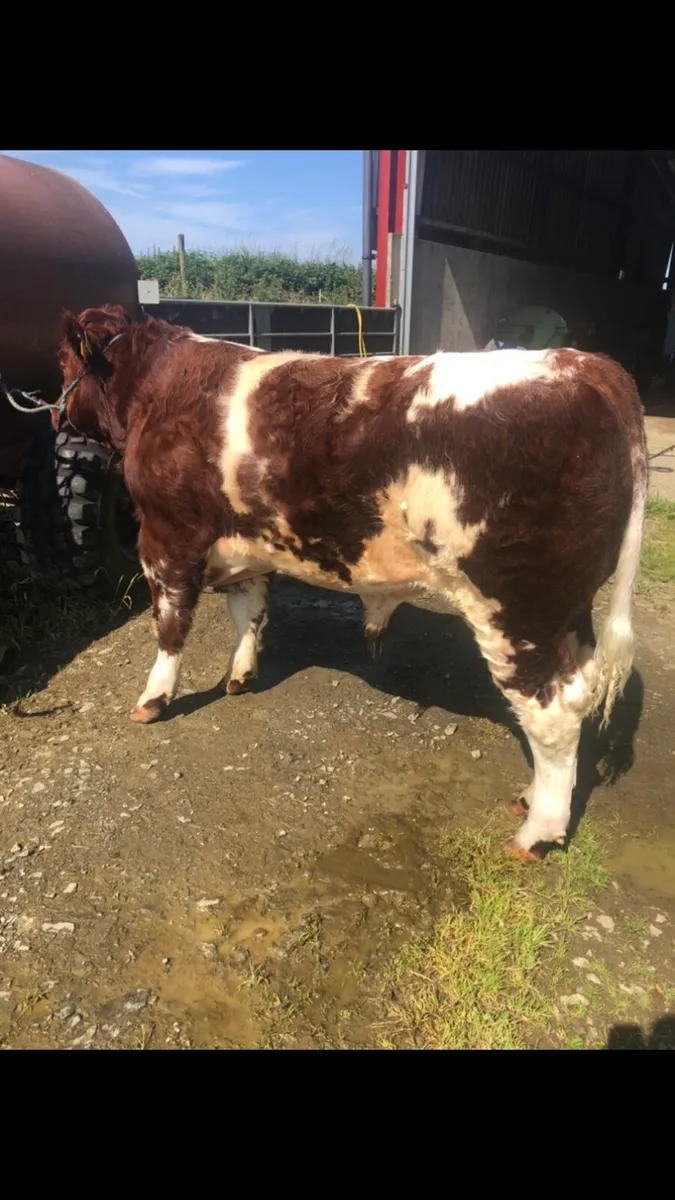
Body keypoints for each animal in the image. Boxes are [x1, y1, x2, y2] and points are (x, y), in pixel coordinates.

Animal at [56, 304, 648, 861]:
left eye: (61, 360)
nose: (56, 416)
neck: (158, 388)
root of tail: (585, 363)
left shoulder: (165, 536)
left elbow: (171, 624)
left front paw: (153, 699)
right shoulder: (248, 541)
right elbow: (247, 611)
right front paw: (241, 675)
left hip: (516, 606)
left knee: (553, 710)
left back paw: (536, 834)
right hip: (567, 609)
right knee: (581, 687)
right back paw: (534, 798)